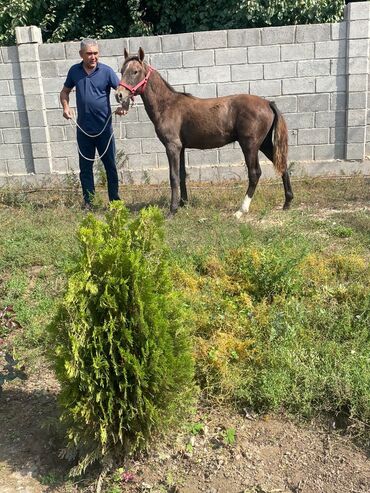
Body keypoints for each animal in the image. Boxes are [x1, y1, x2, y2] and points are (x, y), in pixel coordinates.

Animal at [117, 47, 294, 215]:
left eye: (135, 71)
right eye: (121, 70)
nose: (119, 95)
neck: (167, 105)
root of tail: (268, 103)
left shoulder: (172, 147)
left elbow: (173, 177)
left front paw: (172, 210)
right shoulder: (181, 148)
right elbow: (182, 175)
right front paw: (183, 204)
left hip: (250, 145)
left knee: (255, 173)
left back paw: (241, 210)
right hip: (263, 144)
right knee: (282, 165)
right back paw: (287, 202)